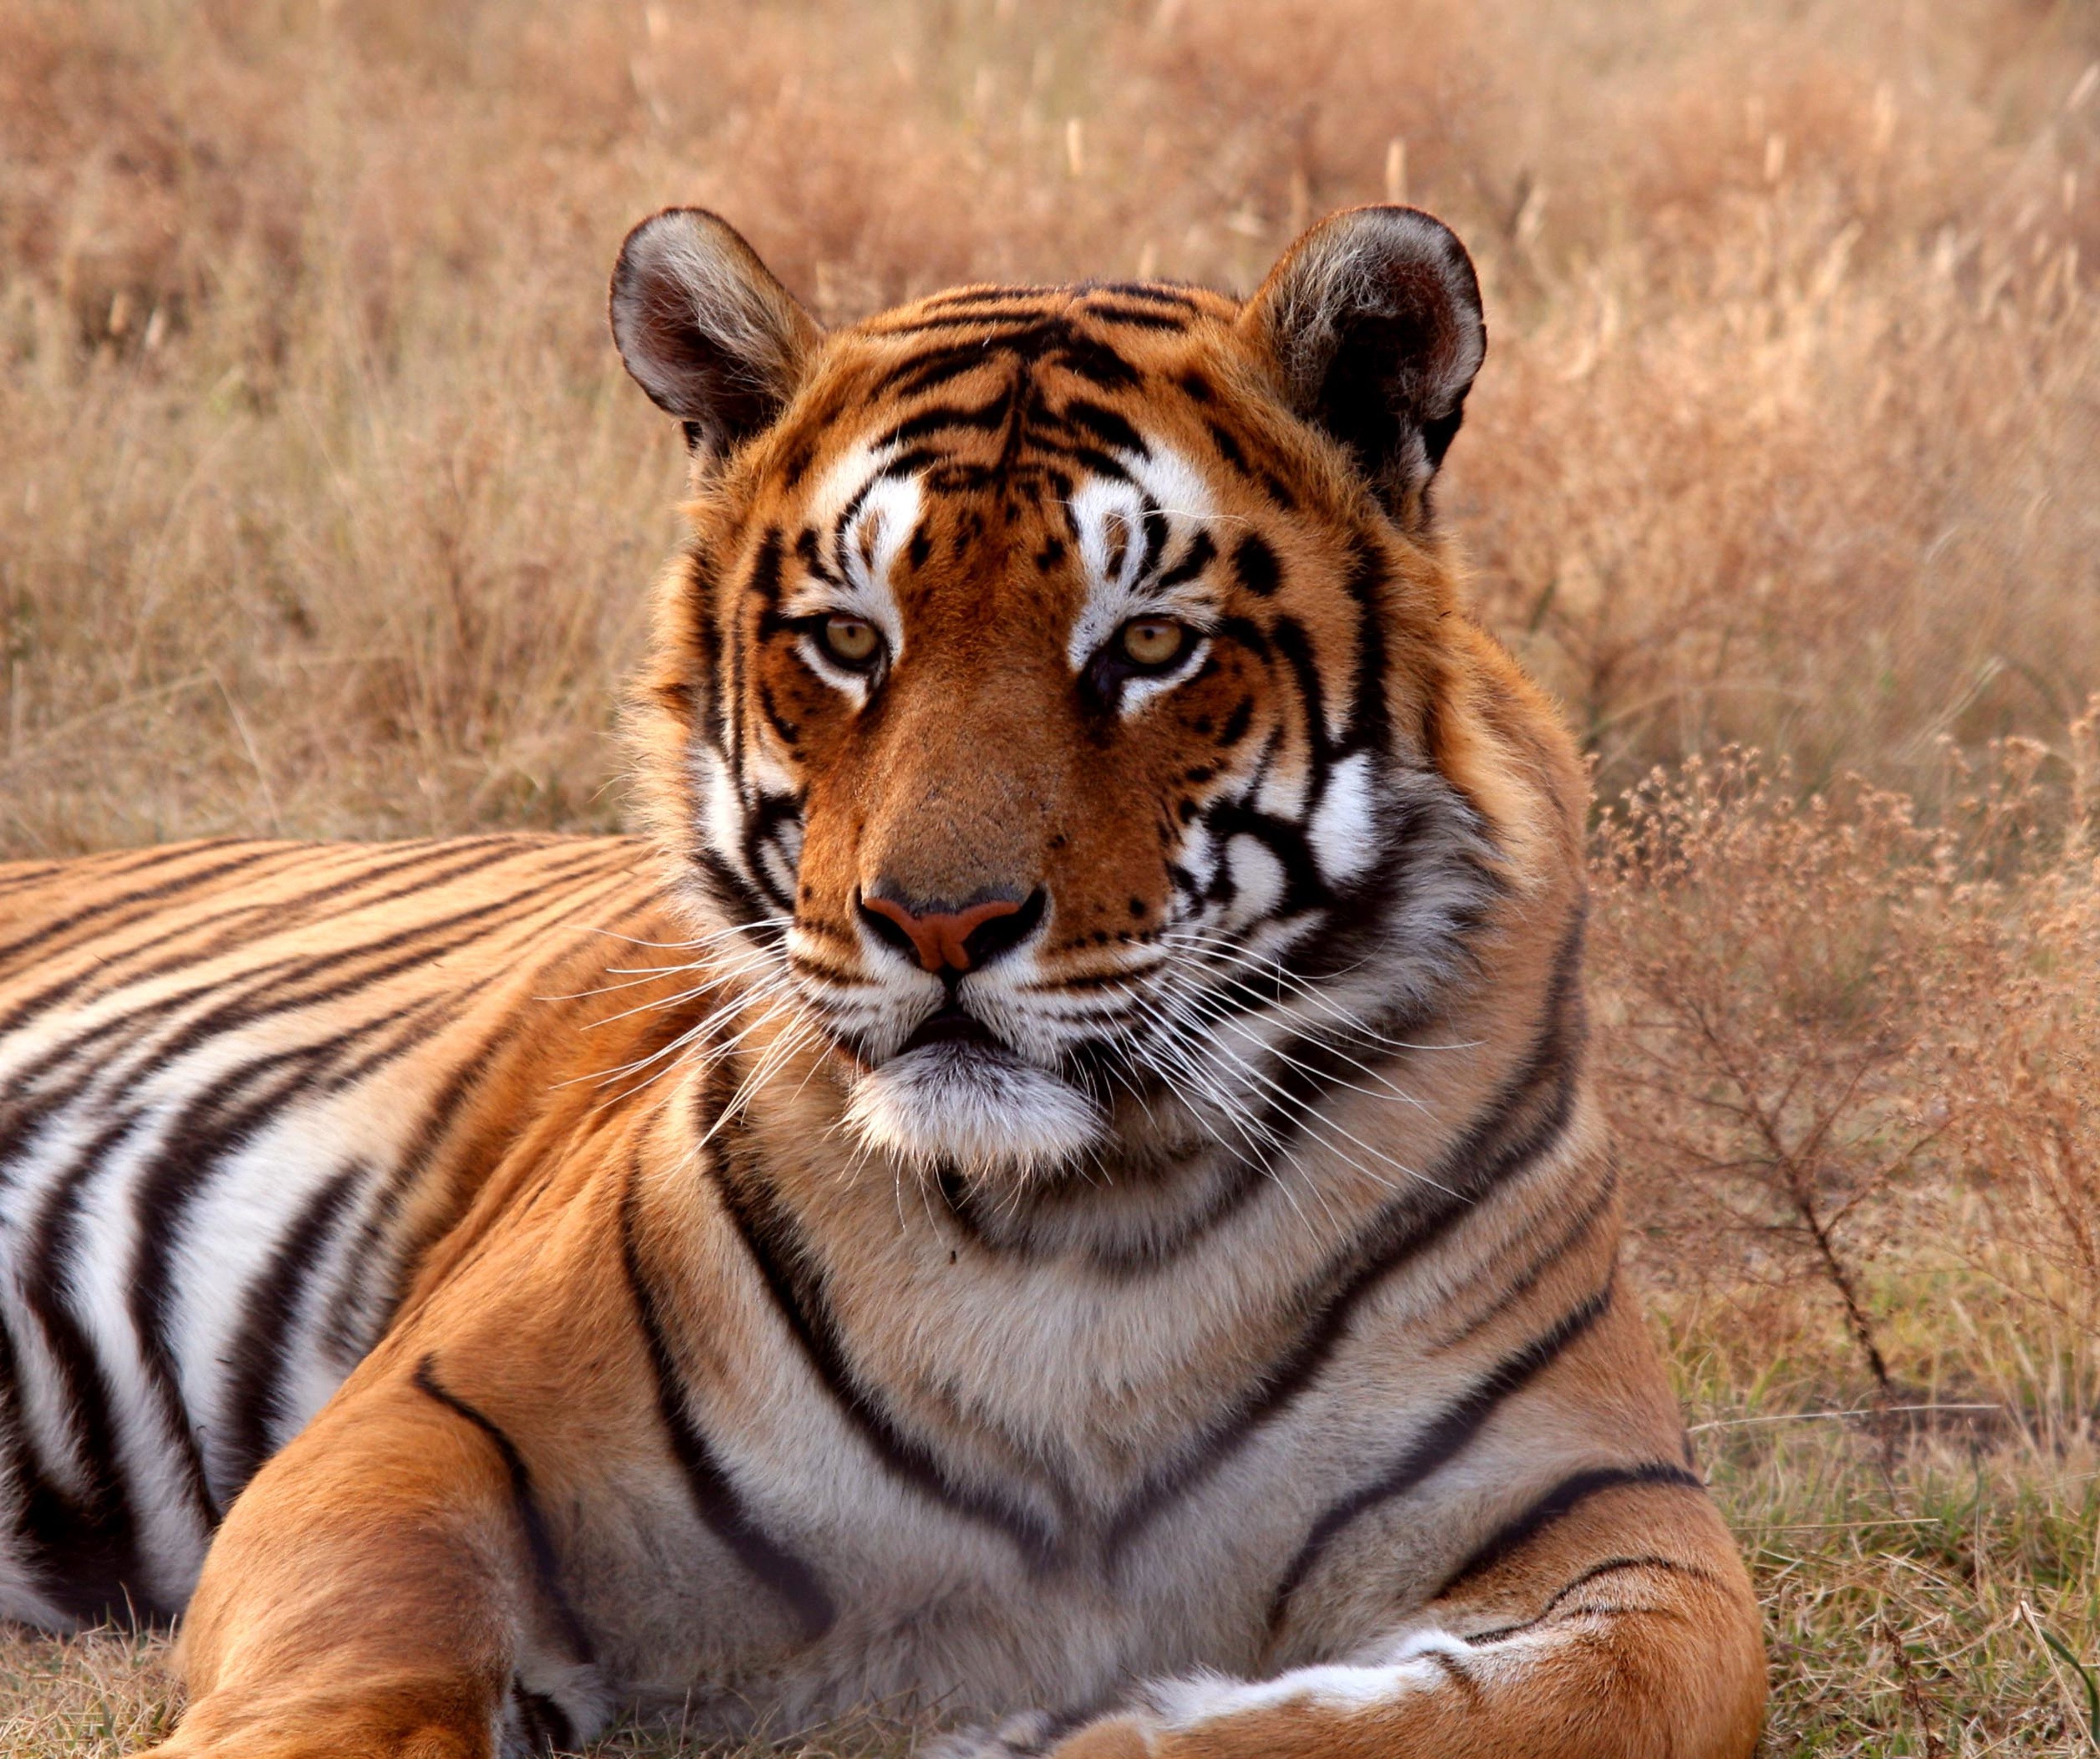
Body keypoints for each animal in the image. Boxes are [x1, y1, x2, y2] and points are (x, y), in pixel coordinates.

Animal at [0, 203, 1766, 1759]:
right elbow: (367, 1656)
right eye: (850, 640)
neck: (1086, 1235)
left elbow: (1551, 1704)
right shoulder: (418, 1424)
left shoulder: (1622, 1516)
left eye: (1147, 644)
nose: (937, 922)